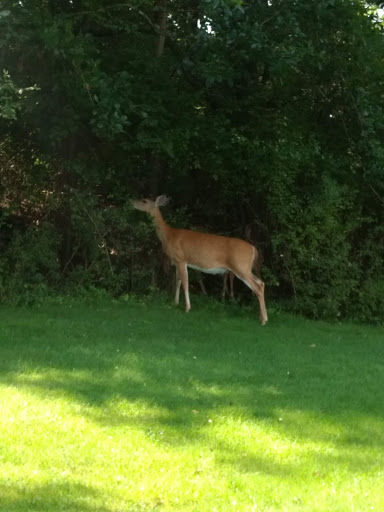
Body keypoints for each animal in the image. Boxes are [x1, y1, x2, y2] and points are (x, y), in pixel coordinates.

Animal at [132, 194, 268, 326]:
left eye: (144, 200)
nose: (132, 201)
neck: (169, 235)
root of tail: (253, 249)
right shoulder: (176, 262)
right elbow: (178, 281)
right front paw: (175, 303)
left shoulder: (181, 259)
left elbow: (185, 283)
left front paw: (187, 308)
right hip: (246, 268)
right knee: (261, 283)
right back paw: (261, 316)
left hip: (240, 267)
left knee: (257, 287)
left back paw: (263, 320)